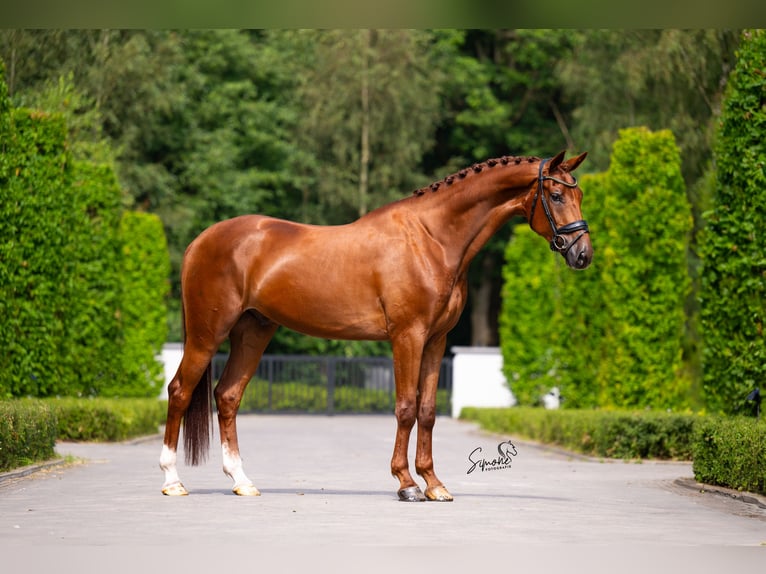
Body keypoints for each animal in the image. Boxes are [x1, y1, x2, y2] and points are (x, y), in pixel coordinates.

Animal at [160, 151, 592, 502]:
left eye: (580, 196)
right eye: (556, 196)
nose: (582, 254)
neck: (432, 239)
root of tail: (200, 241)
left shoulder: (436, 340)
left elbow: (428, 410)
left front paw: (435, 484)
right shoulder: (407, 336)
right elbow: (405, 408)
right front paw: (407, 484)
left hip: (253, 331)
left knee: (228, 396)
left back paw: (242, 482)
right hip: (208, 333)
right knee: (180, 391)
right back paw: (172, 481)